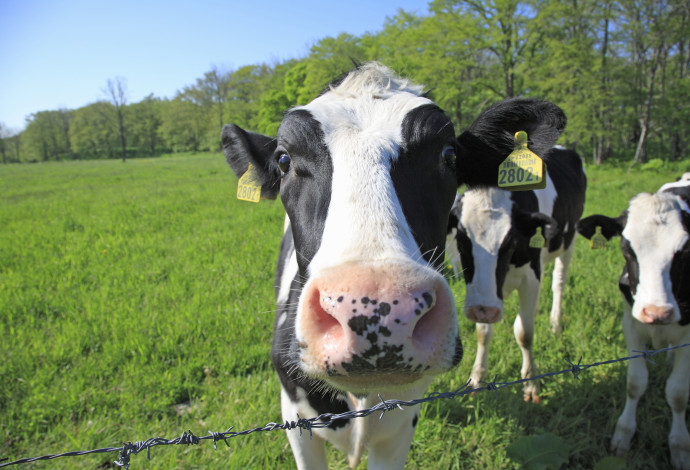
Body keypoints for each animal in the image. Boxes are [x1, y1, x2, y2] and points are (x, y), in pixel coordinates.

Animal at [444, 146, 584, 400]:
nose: (485, 309)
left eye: (510, 242)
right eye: (461, 239)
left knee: (558, 282)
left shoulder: (530, 276)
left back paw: (555, 322)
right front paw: (476, 377)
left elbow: (524, 333)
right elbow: (483, 332)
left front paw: (531, 382)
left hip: (569, 241)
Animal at [576, 178, 688, 468]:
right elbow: (636, 382)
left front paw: (679, 446)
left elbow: (678, 393)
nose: (657, 312)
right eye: (627, 249)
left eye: (684, 251)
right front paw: (623, 436)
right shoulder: (631, 322)